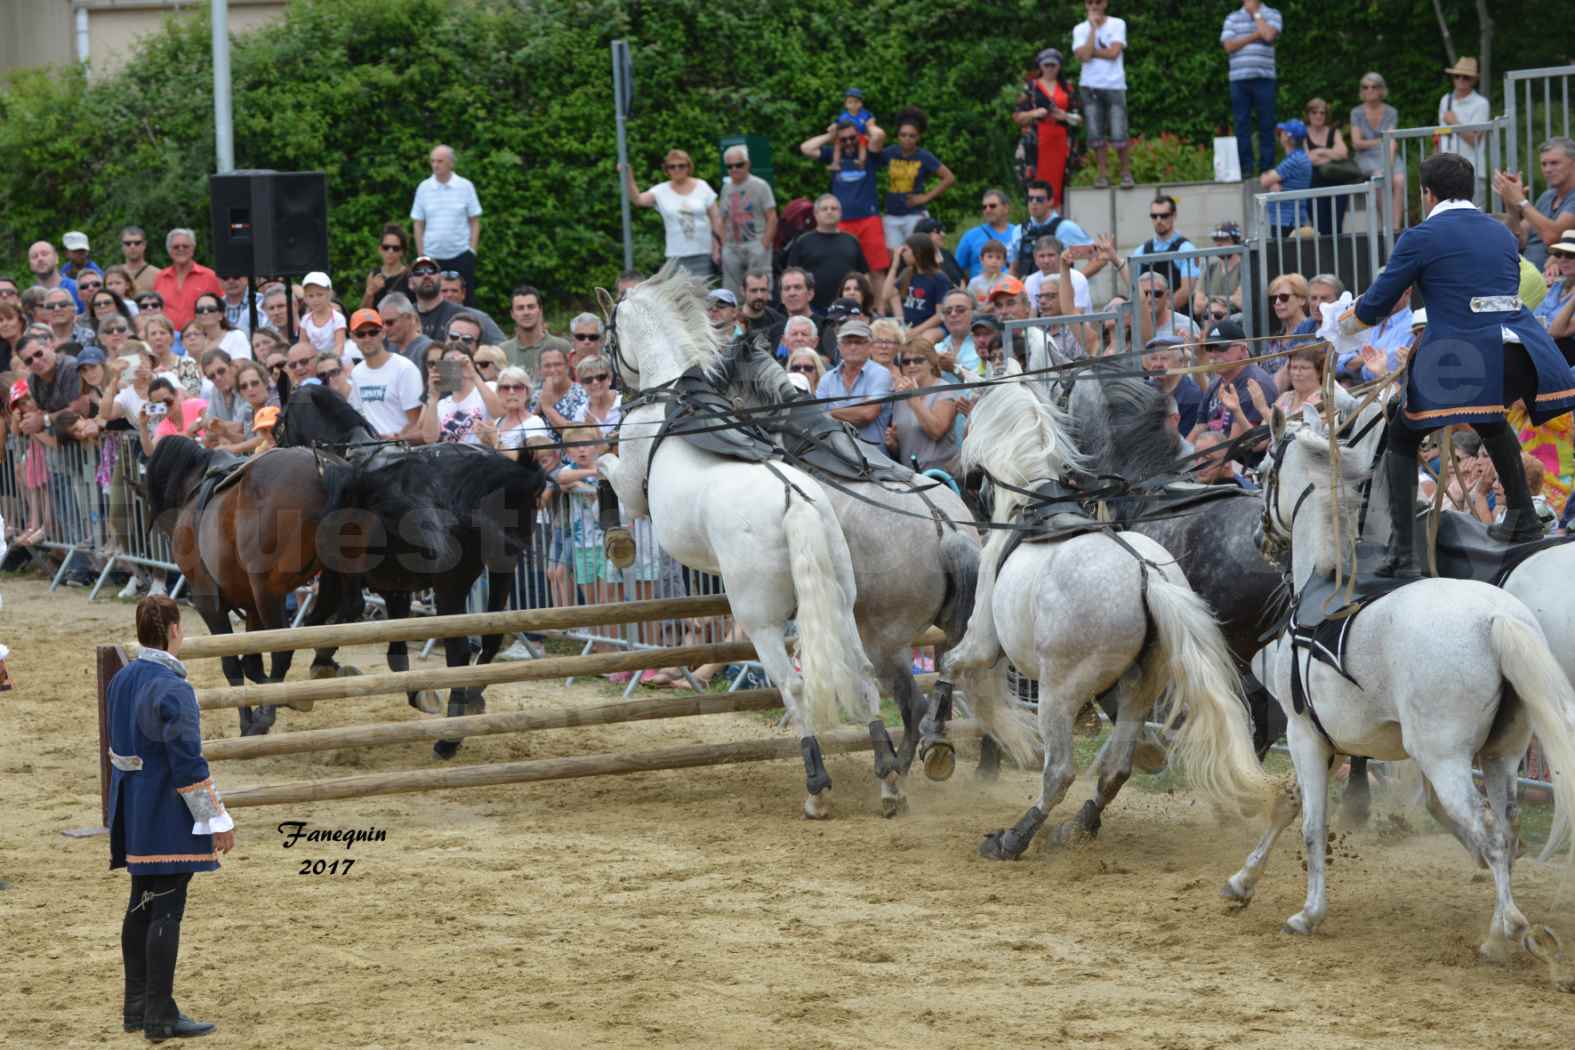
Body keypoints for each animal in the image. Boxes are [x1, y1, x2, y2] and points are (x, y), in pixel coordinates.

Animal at [145, 434, 360, 739]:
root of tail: (323, 467)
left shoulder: (209, 601)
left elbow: (232, 664)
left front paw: (250, 721)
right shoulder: (251, 606)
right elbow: (251, 660)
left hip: (267, 591)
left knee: (284, 647)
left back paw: (266, 715)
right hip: (340, 568)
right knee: (350, 607)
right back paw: (321, 663)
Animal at [267, 384, 544, 755]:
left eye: (277, 427)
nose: (275, 452)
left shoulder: (337, 574)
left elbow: (325, 620)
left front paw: (316, 670)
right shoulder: (394, 585)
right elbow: (395, 651)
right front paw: (420, 695)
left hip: (450, 585)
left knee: (459, 650)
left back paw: (450, 738)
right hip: (503, 570)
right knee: (490, 638)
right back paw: (472, 699)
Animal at [592, 264, 1033, 818]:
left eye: (609, 339)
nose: (615, 388)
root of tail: (946, 531)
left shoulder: (635, 491)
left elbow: (602, 470)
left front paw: (617, 539)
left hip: (838, 631)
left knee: (872, 698)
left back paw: (859, 777)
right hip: (917, 624)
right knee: (953, 684)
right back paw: (933, 766)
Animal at [932, 382, 1266, 856]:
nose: (964, 484)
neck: (1030, 504)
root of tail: (1146, 576)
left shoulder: (983, 642)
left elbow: (950, 665)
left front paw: (933, 739)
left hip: (1057, 692)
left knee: (1059, 773)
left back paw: (1014, 838)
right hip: (1142, 686)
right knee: (1115, 767)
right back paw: (1081, 824)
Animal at [1228, 406, 1575, 988]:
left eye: (1263, 472)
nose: (1258, 537)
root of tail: (1496, 618)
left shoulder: (1304, 736)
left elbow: (1312, 824)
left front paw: (1307, 913)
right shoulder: (1332, 742)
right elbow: (1291, 806)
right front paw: (1242, 881)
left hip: (1445, 757)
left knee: (1490, 831)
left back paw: (1507, 930)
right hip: (1500, 755)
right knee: (1503, 829)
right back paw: (1505, 927)